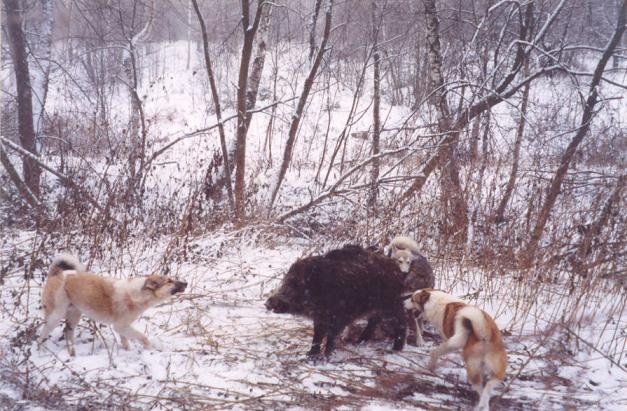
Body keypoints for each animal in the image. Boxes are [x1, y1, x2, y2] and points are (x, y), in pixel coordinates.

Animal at [38, 253, 186, 356]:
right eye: (169, 281)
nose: (186, 283)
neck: (138, 295)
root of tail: (57, 273)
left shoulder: (123, 328)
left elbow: (125, 341)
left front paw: (127, 351)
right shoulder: (121, 326)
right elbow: (142, 337)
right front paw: (150, 349)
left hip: (74, 314)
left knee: (67, 332)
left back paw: (72, 351)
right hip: (55, 316)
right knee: (43, 334)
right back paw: (42, 349)